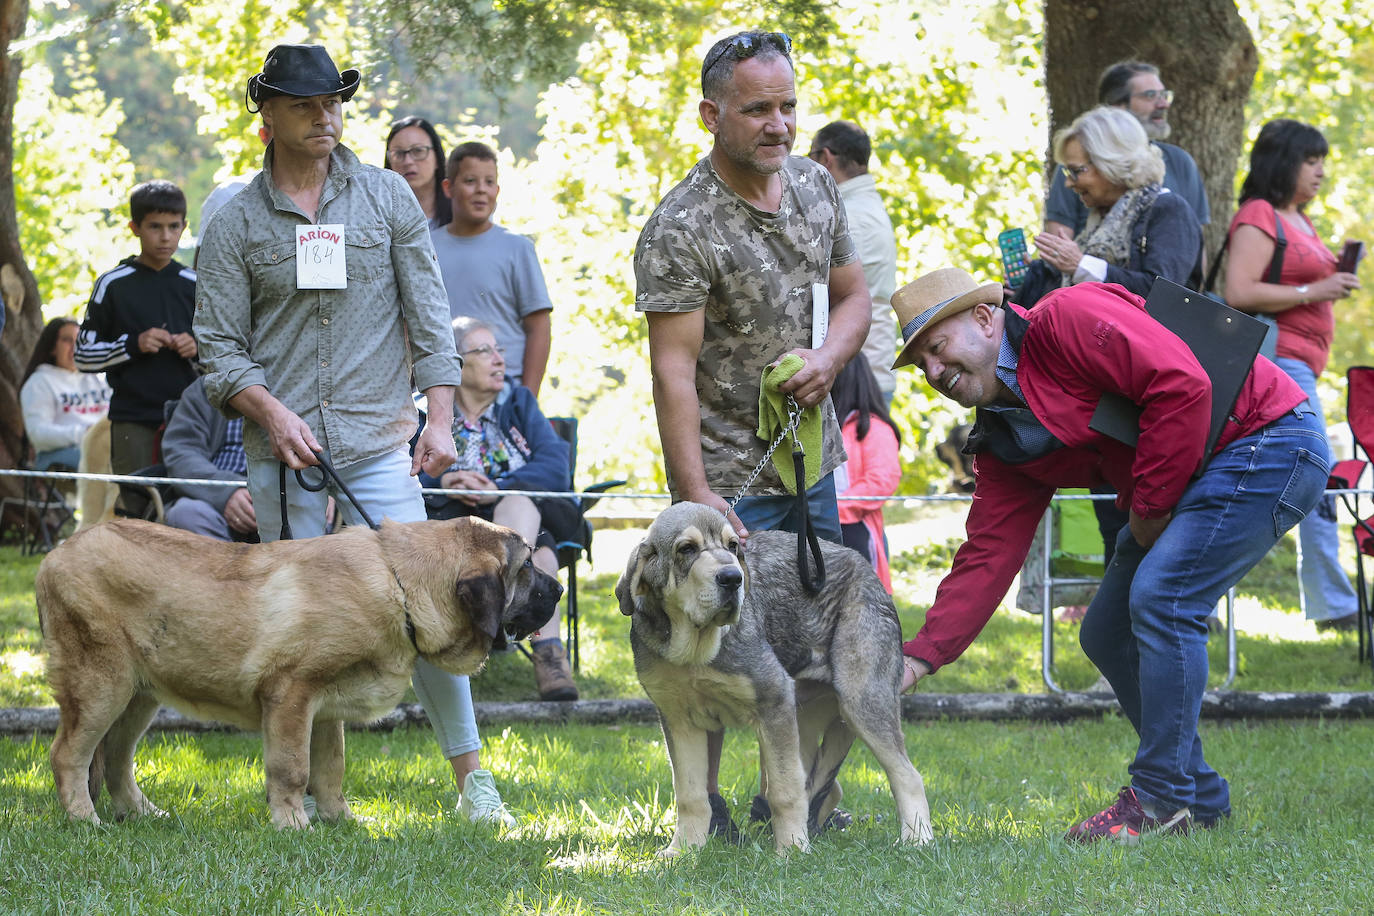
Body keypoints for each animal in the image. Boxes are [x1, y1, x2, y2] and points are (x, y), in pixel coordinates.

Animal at [40, 516, 560, 829]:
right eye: (526, 567)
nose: (556, 589)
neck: (399, 584)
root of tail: (56, 552)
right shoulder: (290, 695)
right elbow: (292, 768)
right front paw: (293, 824)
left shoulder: (325, 712)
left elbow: (330, 769)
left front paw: (342, 821)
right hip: (102, 685)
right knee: (69, 754)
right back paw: (85, 820)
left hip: (140, 695)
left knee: (116, 759)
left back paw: (146, 814)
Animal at [621, 497, 934, 856]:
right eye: (686, 549)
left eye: (732, 546)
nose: (732, 578)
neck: (696, 650)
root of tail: (868, 571)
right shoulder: (679, 720)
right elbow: (690, 794)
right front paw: (683, 851)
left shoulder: (773, 700)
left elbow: (785, 790)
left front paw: (793, 851)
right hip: (807, 718)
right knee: (825, 783)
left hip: (861, 702)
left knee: (906, 775)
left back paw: (917, 839)